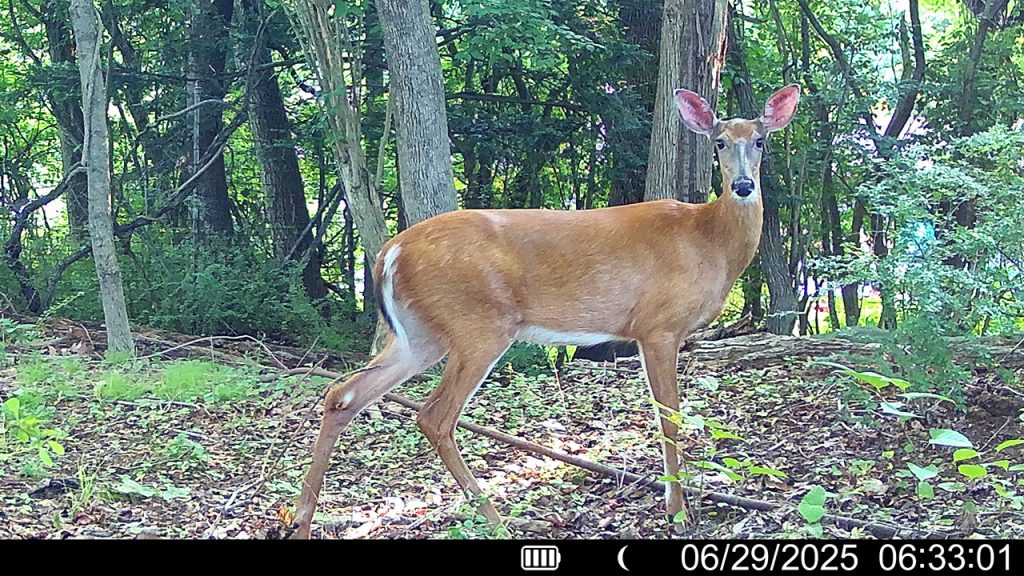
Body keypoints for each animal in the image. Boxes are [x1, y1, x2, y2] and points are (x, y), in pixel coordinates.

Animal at [289, 84, 800, 538]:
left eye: (761, 140)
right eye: (719, 142)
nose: (743, 185)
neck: (708, 241)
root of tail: (388, 252)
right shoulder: (658, 326)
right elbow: (669, 416)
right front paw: (677, 512)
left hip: (420, 335)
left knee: (343, 393)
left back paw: (301, 520)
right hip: (479, 323)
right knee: (434, 415)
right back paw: (497, 521)